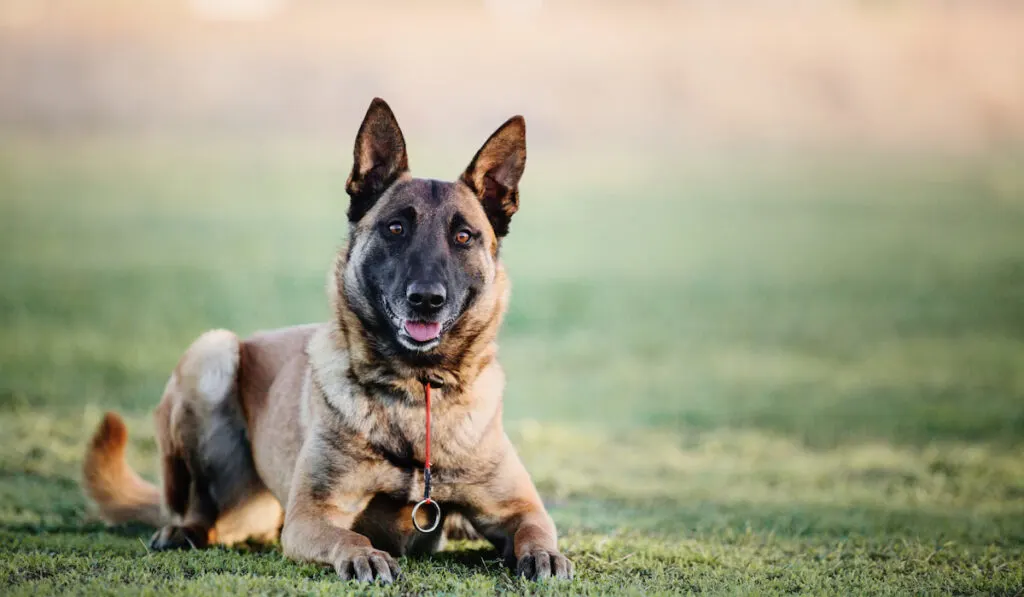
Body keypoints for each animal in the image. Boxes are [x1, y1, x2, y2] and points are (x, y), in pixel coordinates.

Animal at [79, 99, 573, 585]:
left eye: (464, 236)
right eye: (395, 228)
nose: (426, 300)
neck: (415, 394)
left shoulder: (518, 508)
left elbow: (535, 529)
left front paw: (546, 556)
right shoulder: (311, 516)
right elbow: (350, 536)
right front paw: (365, 557)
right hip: (212, 356)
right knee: (201, 508)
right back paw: (184, 530)